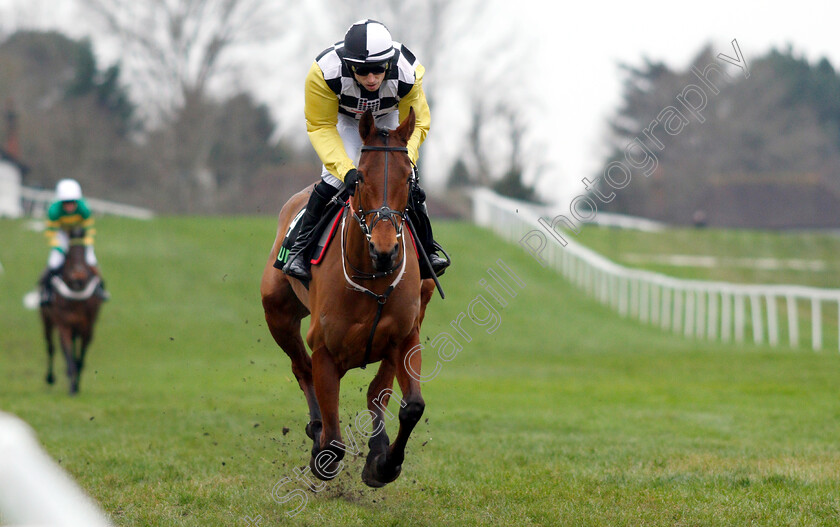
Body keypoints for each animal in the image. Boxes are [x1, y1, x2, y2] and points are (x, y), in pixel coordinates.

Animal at [40, 227, 102, 396]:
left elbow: (80, 359)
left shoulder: (87, 327)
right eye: (69, 255)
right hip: (46, 320)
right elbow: (68, 356)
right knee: (50, 347)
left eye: (83, 250)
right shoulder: (64, 325)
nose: (78, 277)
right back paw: (50, 377)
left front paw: (76, 385)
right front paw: (72, 387)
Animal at [260, 108, 434, 490]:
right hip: (277, 313)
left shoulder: (405, 336)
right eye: (362, 178)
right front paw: (322, 450)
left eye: (408, 181)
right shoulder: (325, 350)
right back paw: (316, 429)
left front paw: (383, 463)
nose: (385, 250)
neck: (372, 276)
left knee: (377, 390)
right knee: (301, 368)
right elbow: (334, 442)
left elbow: (410, 405)